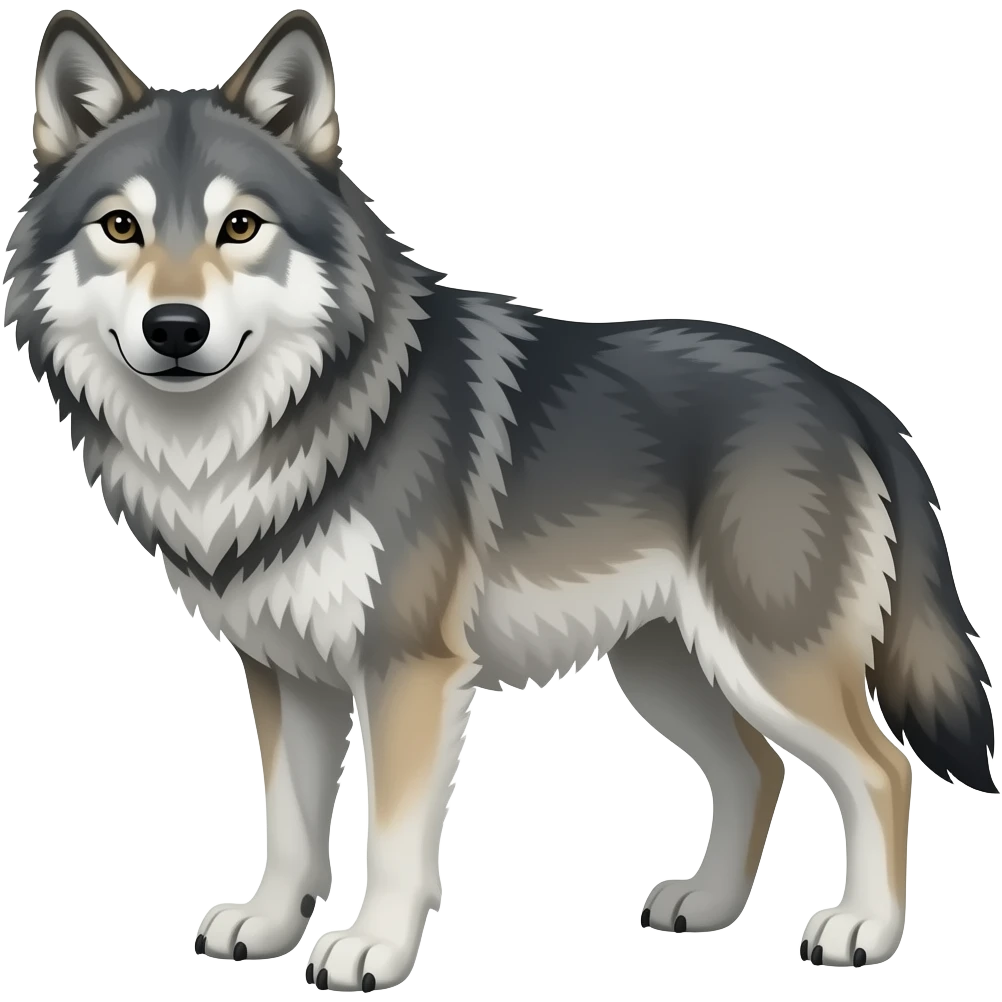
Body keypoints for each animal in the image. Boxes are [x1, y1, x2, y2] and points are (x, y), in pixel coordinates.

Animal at [5, 8, 997, 990]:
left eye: (240, 225)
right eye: (121, 227)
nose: (175, 328)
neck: (261, 435)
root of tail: (844, 391)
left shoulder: (408, 670)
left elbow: (392, 837)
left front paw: (371, 948)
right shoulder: (287, 672)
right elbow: (289, 823)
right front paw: (268, 923)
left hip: (765, 658)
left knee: (880, 770)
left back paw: (861, 929)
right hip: (667, 666)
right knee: (758, 770)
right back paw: (708, 906)